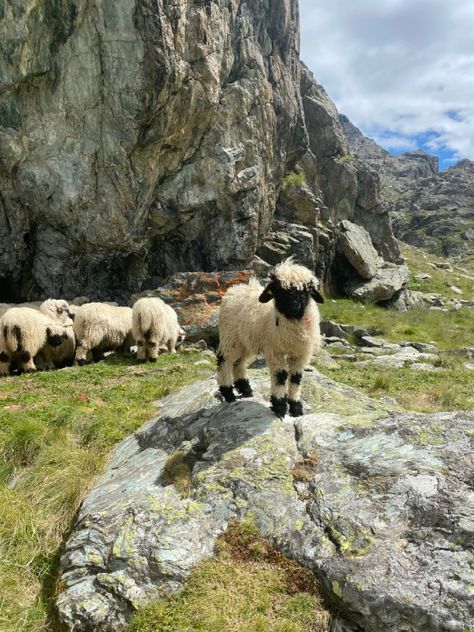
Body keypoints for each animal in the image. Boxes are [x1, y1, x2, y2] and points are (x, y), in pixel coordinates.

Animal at [217, 260, 324, 418]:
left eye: (306, 291)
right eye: (280, 291)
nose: (294, 307)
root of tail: (236, 288)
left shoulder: (301, 353)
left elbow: (296, 377)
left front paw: (296, 408)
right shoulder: (275, 351)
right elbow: (281, 375)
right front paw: (279, 407)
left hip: (244, 340)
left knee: (238, 362)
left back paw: (246, 389)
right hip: (229, 336)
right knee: (224, 360)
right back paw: (228, 393)